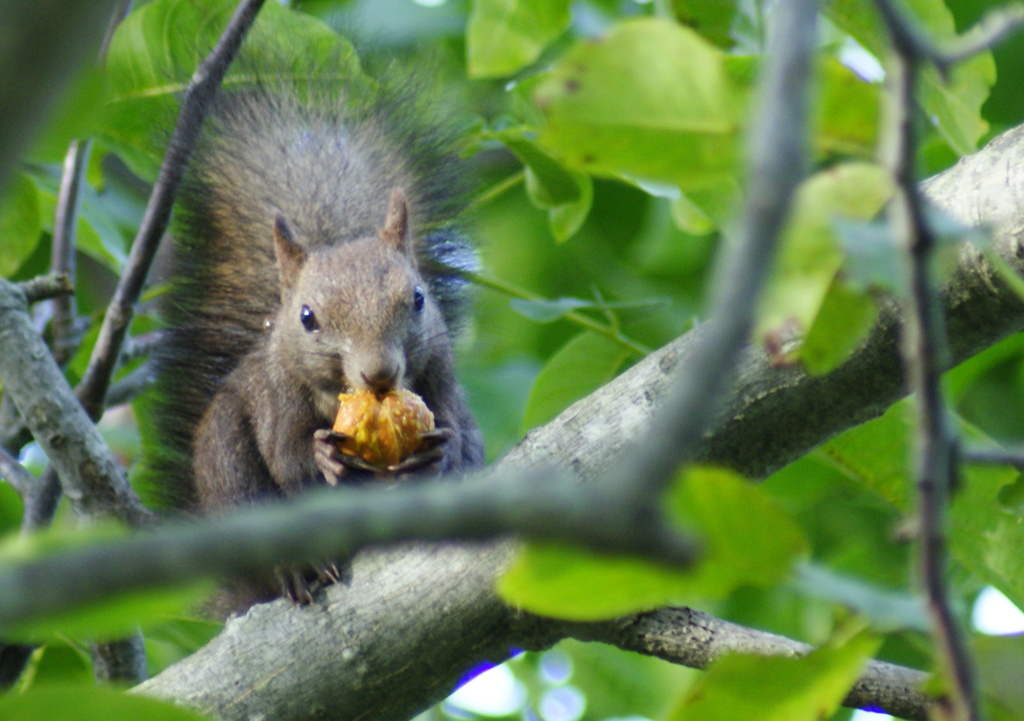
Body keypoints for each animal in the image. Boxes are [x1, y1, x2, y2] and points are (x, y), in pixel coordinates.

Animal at [148, 78, 487, 606]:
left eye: (417, 298)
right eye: (307, 317)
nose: (379, 372)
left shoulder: (441, 379)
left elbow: (454, 436)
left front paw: (439, 455)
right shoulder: (277, 398)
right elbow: (288, 459)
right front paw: (324, 457)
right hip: (227, 464)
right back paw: (295, 571)